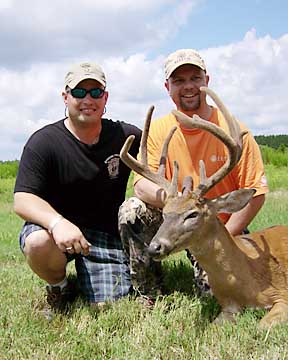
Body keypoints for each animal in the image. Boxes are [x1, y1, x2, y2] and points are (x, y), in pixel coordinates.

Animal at [120, 87, 288, 330]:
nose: (154, 248)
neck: (245, 282)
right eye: (165, 214)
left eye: (193, 214)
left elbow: (261, 326)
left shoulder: (282, 295)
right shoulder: (227, 307)